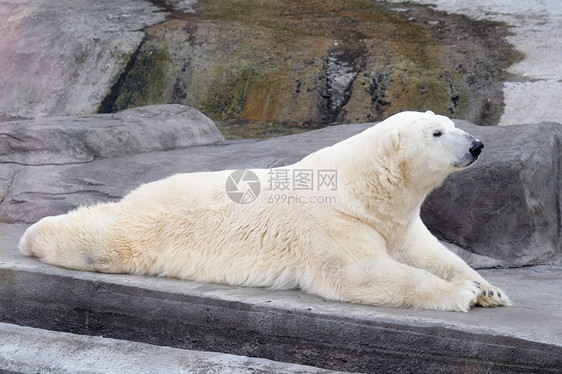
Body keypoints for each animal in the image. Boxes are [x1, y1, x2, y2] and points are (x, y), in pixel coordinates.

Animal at [19, 111, 508, 312]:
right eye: (437, 132)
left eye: (451, 124)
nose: (477, 145)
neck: (362, 187)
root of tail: (141, 189)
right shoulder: (333, 222)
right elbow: (361, 273)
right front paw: (463, 294)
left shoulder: (396, 221)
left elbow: (429, 253)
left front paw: (489, 289)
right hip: (153, 224)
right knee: (102, 237)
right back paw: (32, 234)